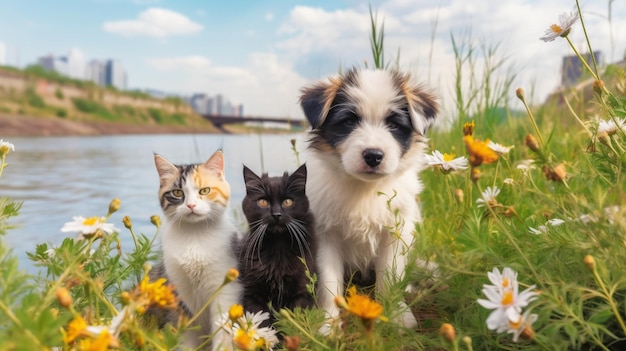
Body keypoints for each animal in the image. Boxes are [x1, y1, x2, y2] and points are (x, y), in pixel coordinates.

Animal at [151, 150, 239, 350]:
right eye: (177, 192)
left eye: (204, 191)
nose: (191, 205)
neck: (195, 235)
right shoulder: (179, 292)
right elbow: (186, 332)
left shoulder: (225, 288)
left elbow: (222, 328)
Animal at [239, 164, 316, 328]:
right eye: (263, 202)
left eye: (287, 202)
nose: (276, 214)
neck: (278, 247)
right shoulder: (253, 293)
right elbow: (262, 323)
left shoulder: (301, 290)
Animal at [298, 67, 436, 328]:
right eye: (349, 122)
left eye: (394, 124)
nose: (373, 155)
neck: (364, 188)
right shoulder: (324, 233)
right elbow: (329, 282)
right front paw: (328, 324)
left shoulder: (395, 232)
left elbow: (390, 276)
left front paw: (397, 314)